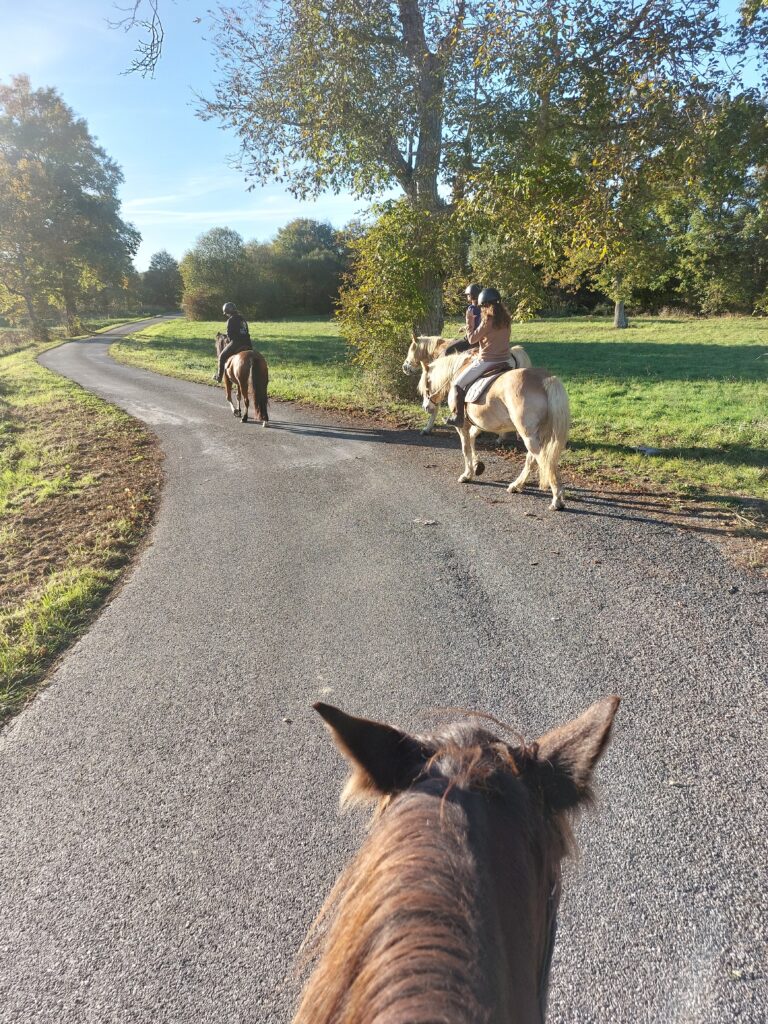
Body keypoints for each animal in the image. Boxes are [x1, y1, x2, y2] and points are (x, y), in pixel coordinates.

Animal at [425, 352, 570, 510]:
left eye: (426, 384)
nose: (426, 407)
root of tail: (546, 379)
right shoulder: (478, 423)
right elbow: (472, 439)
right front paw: (477, 465)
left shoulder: (462, 426)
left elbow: (465, 448)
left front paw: (467, 474)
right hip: (538, 434)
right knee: (533, 459)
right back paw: (517, 485)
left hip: (528, 436)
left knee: (544, 460)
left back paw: (556, 499)